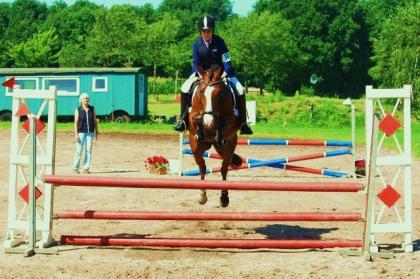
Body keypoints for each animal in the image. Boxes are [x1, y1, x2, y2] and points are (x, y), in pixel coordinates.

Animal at [188, 64, 243, 207]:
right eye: (201, 92)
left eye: (219, 93)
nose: (208, 123)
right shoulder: (192, 115)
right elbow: (196, 118)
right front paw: (203, 125)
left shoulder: (231, 120)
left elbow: (223, 121)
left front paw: (217, 128)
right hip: (196, 148)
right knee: (202, 167)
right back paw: (202, 195)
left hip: (229, 147)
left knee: (224, 168)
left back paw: (224, 198)